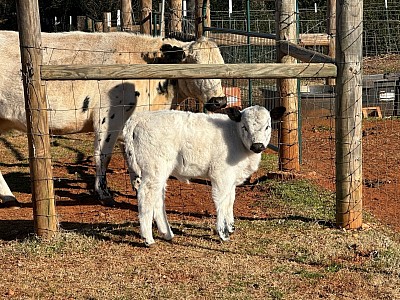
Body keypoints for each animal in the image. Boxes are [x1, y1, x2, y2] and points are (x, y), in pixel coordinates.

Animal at [0, 31, 227, 207]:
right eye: (195, 65)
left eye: (222, 65)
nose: (220, 101)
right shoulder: (108, 118)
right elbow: (103, 155)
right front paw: (104, 193)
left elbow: (133, 158)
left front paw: (139, 188)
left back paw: (8, 197)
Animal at [123, 105, 286, 246]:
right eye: (244, 127)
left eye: (267, 126)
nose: (257, 146)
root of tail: (141, 117)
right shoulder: (221, 174)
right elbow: (221, 201)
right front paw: (223, 233)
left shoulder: (231, 178)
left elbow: (230, 200)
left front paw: (231, 226)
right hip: (154, 168)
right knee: (146, 195)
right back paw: (148, 238)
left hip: (160, 171)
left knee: (158, 198)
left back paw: (166, 233)